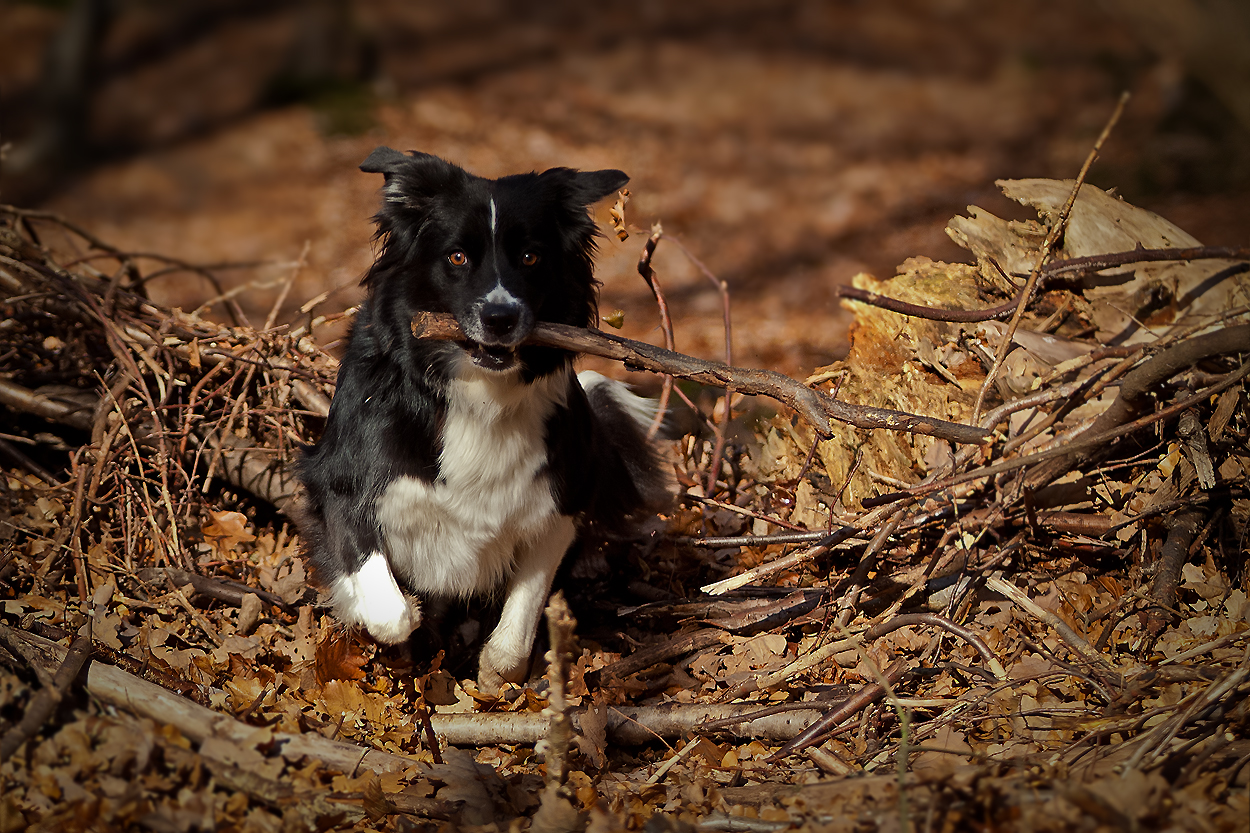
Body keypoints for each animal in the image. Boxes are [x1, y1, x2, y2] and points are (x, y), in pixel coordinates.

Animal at [296, 145, 670, 685]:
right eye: (456, 257)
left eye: (531, 257)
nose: (500, 318)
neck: (480, 395)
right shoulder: (340, 485)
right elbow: (393, 612)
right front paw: (394, 629)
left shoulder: (560, 504)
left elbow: (517, 629)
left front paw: (495, 679)